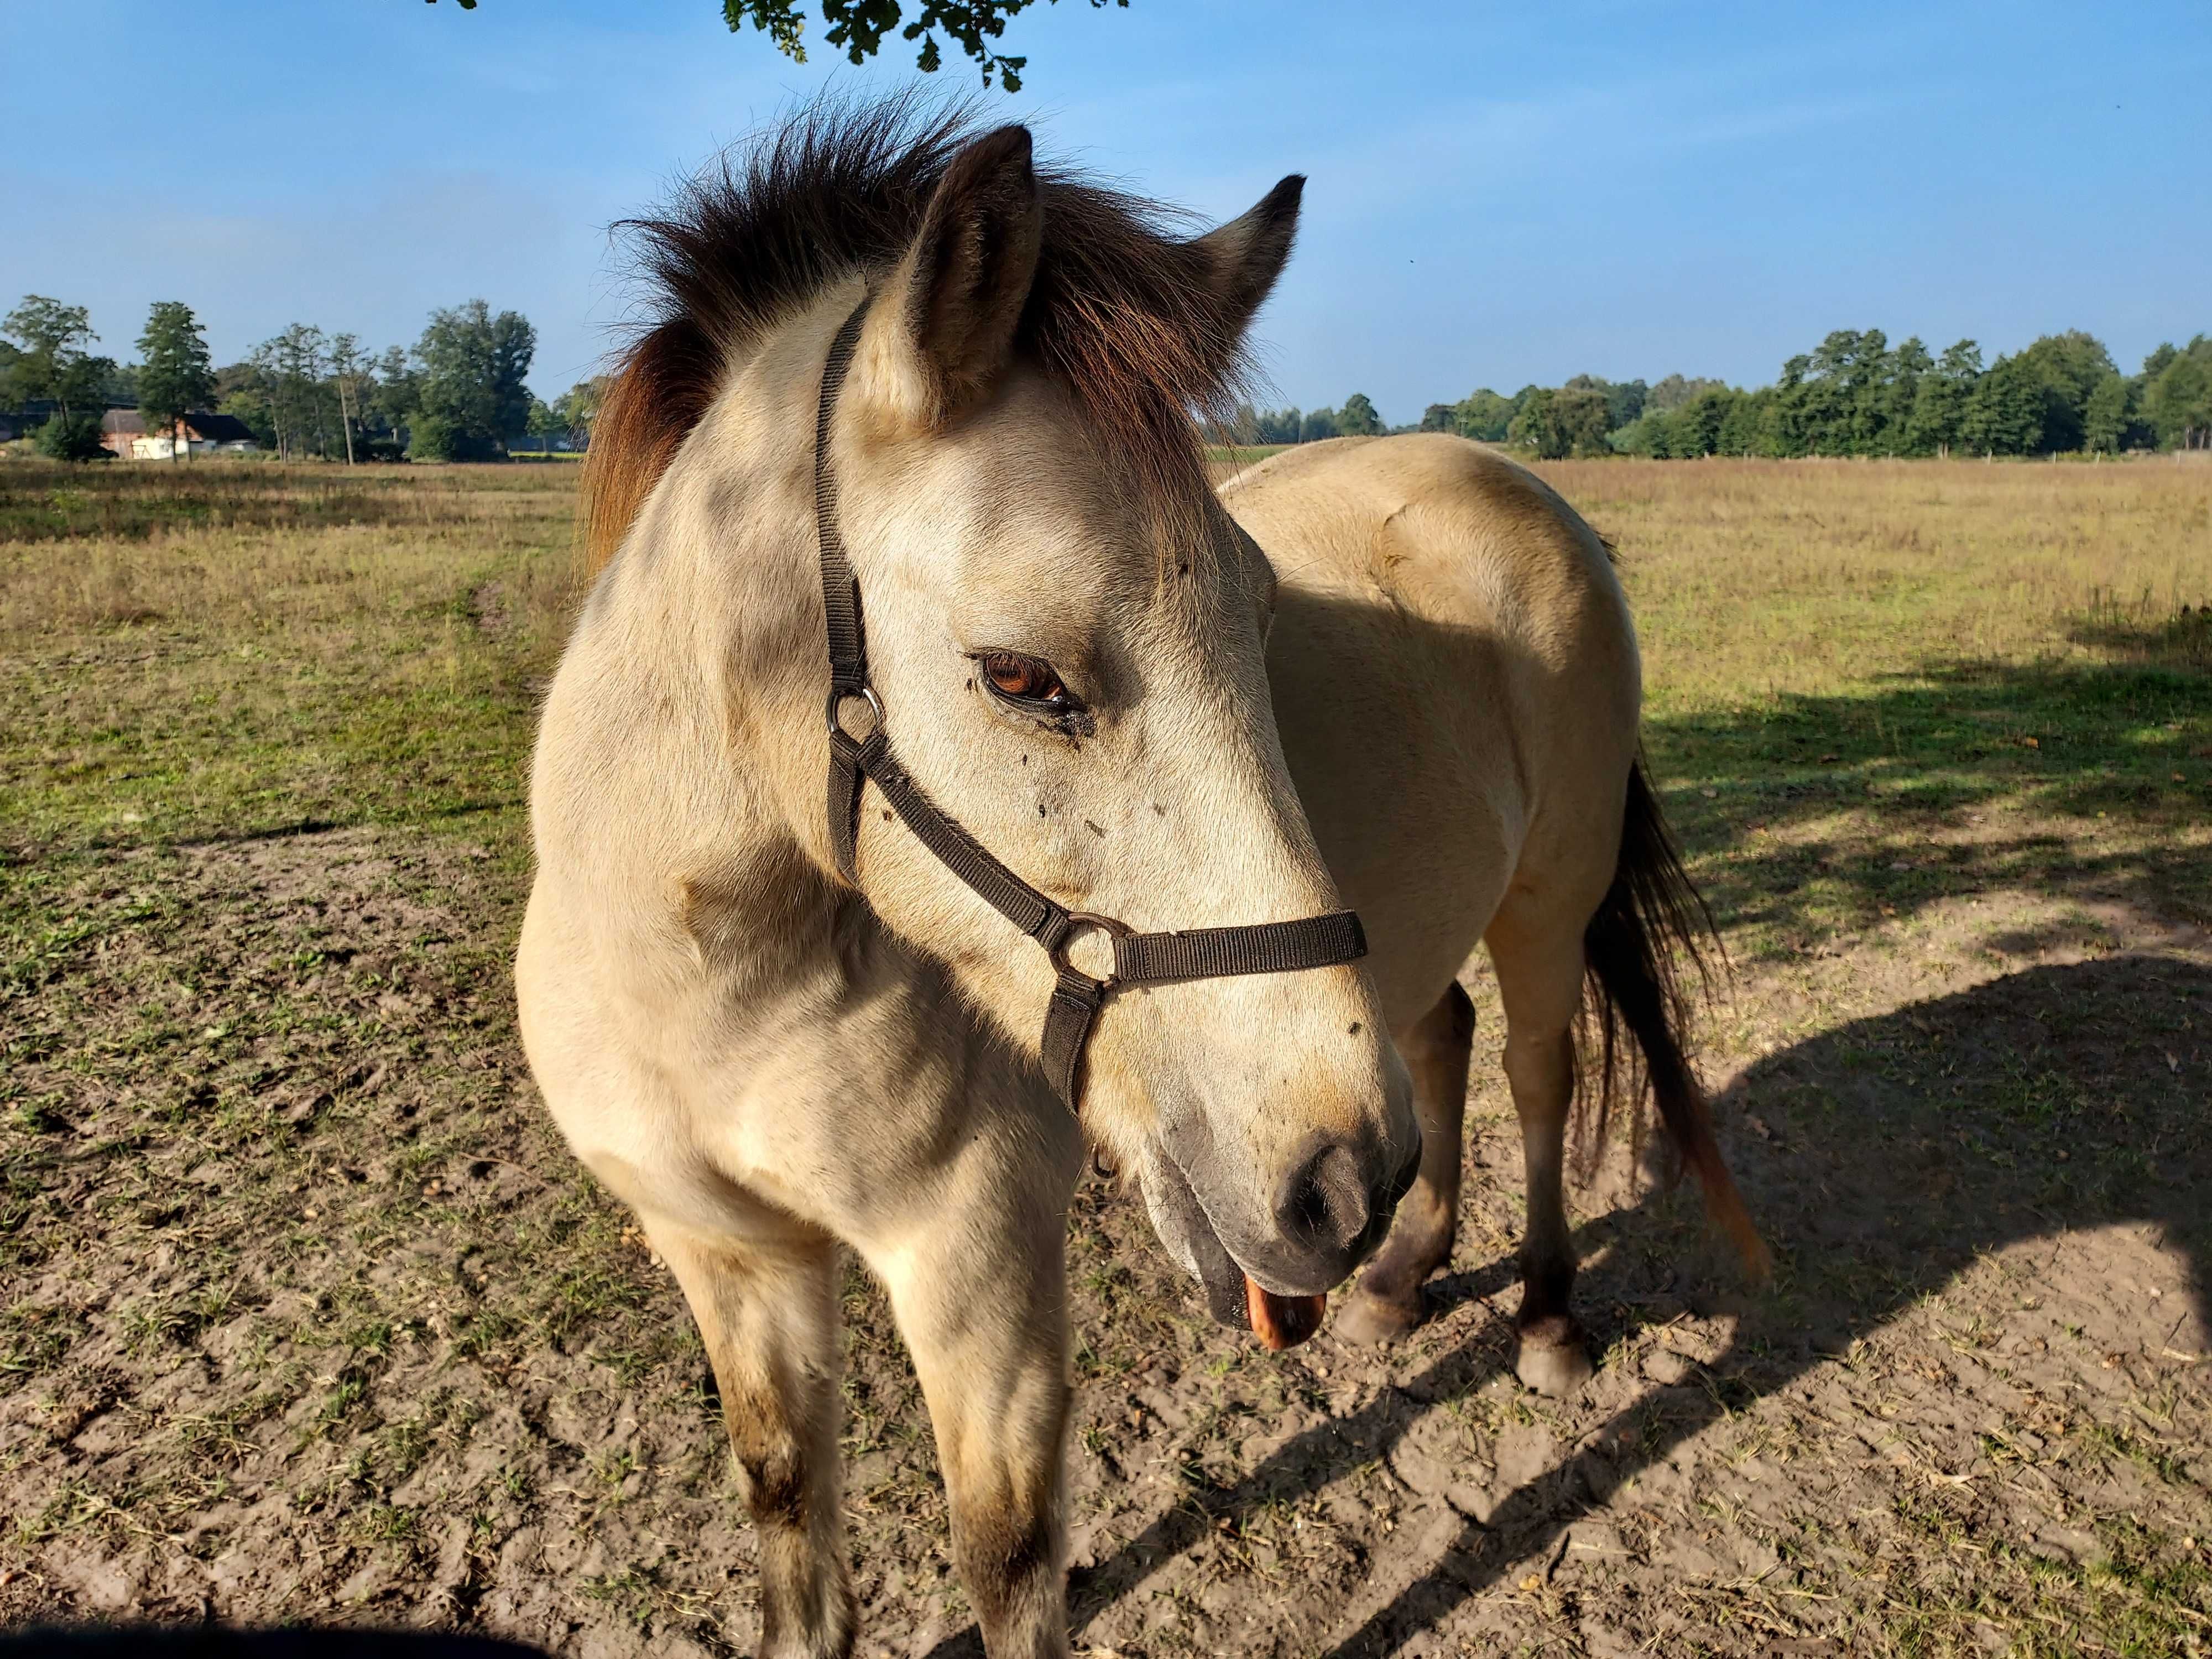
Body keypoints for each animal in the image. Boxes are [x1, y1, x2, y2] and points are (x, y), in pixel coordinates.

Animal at [513, 94, 1761, 1659]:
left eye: (1263, 616)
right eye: (1018, 675)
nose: (1333, 1179)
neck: (709, 994)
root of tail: (1511, 479)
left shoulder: (975, 1274)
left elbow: (1009, 1565)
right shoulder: (729, 1262)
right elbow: (787, 1513)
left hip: (1550, 895)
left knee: (1536, 1073)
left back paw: (1540, 1319)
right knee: (1444, 1036)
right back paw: (1399, 1283)